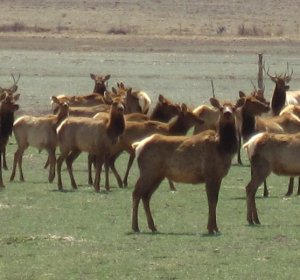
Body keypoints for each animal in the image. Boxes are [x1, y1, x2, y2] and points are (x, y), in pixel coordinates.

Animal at [131, 97, 244, 233]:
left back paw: (152, 227)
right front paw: (210, 228)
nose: (227, 113)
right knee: (136, 193)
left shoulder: (218, 177)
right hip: (148, 171)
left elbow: (215, 201)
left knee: (146, 196)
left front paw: (216, 228)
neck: (222, 148)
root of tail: (138, 145)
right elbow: (211, 201)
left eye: (234, 107)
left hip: (158, 175)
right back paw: (135, 226)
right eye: (221, 108)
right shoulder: (209, 174)